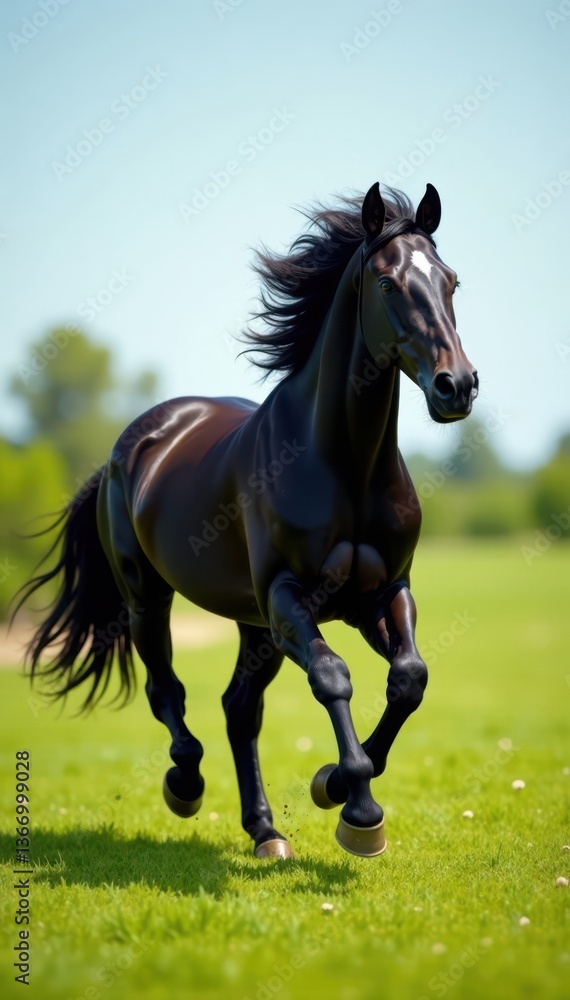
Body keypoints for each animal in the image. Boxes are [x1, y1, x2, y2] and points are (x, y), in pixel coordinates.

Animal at [17, 181, 478, 859]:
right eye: (388, 282)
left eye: (451, 281)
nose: (457, 386)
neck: (346, 465)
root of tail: (130, 446)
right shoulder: (290, 598)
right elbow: (333, 677)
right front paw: (359, 810)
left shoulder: (382, 594)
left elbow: (409, 679)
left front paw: (331, 784)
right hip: (148, 598)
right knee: (168, 691)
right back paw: (185, 784)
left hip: (252, 624)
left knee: (239, 708)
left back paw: (265, 831)